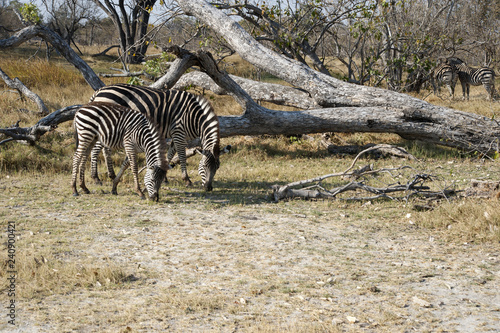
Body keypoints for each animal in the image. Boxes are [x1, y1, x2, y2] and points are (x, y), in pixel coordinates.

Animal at [89, 83, 221, 191]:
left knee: (105, 149)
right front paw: (187, 180)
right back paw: (96, 178)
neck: (195, 116)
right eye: (204, 166)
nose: (208, 188)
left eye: (217, 168)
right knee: (95, 150)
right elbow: (182, 155)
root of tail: (100, 90)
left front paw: (165, 177)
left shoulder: (175, 135)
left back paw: (111, 175)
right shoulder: (178, 132)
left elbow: (170, 154)